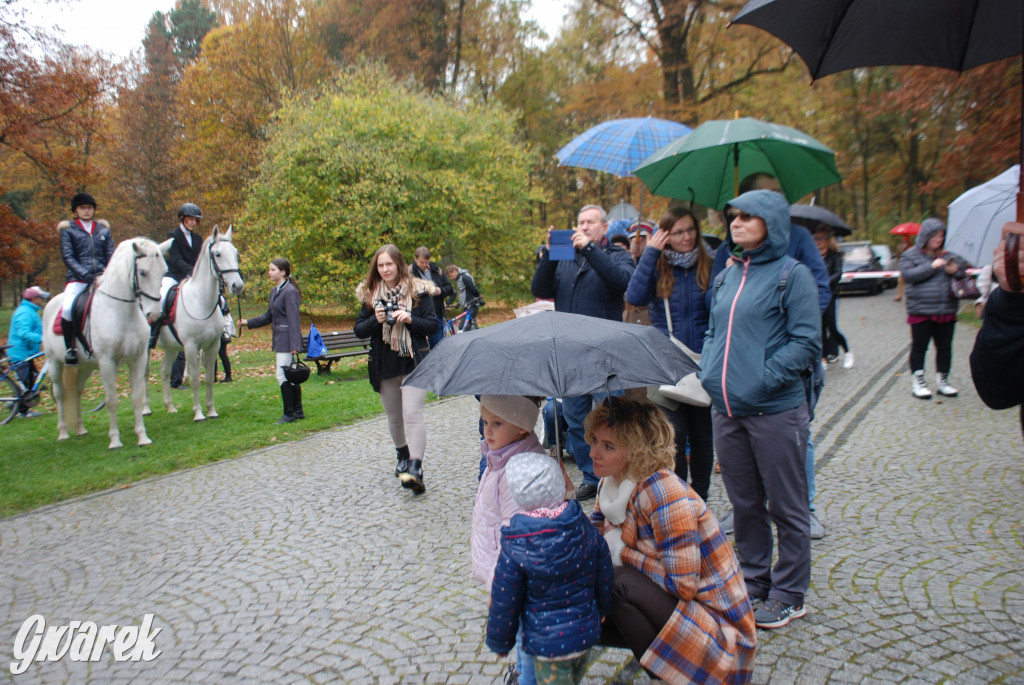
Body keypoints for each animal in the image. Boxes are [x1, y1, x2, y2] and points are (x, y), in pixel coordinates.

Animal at [42, 235, 166, 448]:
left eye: (164, 271)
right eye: (142, 272)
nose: (155, 314)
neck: (122, 312)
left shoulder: (138, 359)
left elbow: (136, 397)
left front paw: (142, 437)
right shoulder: (107, 363)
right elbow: (112, 401)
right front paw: (115, 441)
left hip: (85, 367)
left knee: (76, 392)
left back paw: (81, 430)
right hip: (54, 362)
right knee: (60, 393)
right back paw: (63, 433)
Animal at [149, 224, 243, 419]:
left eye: (235, 252)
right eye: (218, 254)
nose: (237, 286)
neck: (201, 303)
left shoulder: (213, 346)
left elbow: (208, 378)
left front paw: (211, 411)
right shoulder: (191, 347)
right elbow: (194, 380)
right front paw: (199, 414)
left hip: (171, 348)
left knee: (164, 370)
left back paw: (170, 407)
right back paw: (145, 409)